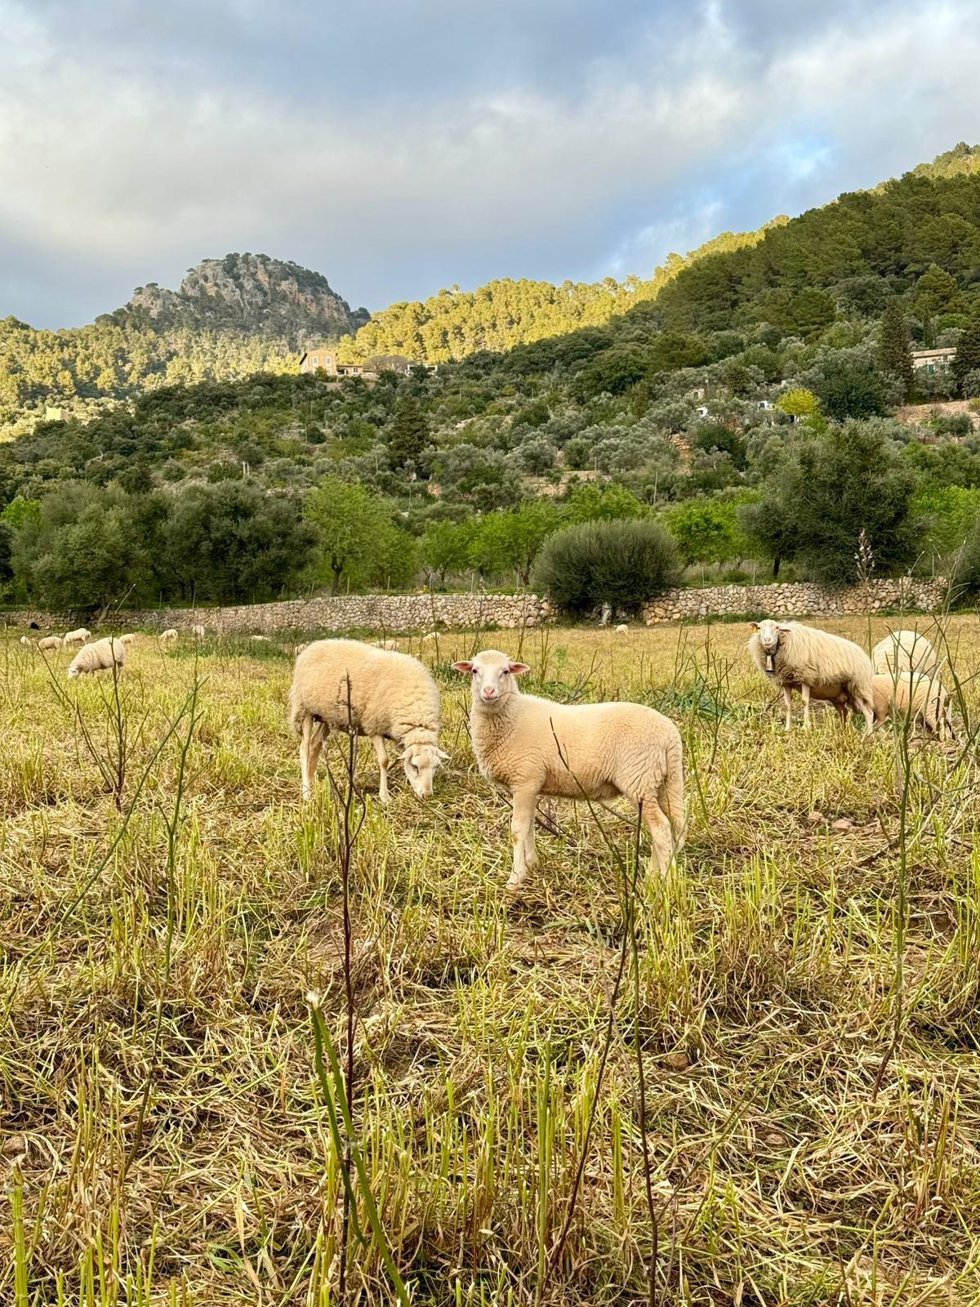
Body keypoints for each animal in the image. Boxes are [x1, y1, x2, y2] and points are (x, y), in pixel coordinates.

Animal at [289, 638, 447, 803]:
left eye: (436, 767)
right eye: (415, 766)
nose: (427, 796)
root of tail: (313, 645)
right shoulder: (374, 727)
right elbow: (384, 760)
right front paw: (384, 797)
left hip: (328, 716)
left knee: (315, 744)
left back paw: (313, 784)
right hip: (304, 709)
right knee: (304, 748)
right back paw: (306, 792)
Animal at [452, 649, 684, 892]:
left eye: (505, 671)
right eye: (475, 670)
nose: (489, 692)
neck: (512, 716)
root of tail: (670, 734)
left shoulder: (524, 780)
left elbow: (518, 830)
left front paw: (515, 878)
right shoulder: (531, 784)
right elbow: (530, 827)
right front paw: (532, 864)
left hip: (640, 779)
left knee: (661, 829)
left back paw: (665, 883)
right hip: (662, 782)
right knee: (669, 827)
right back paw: (653, 876)